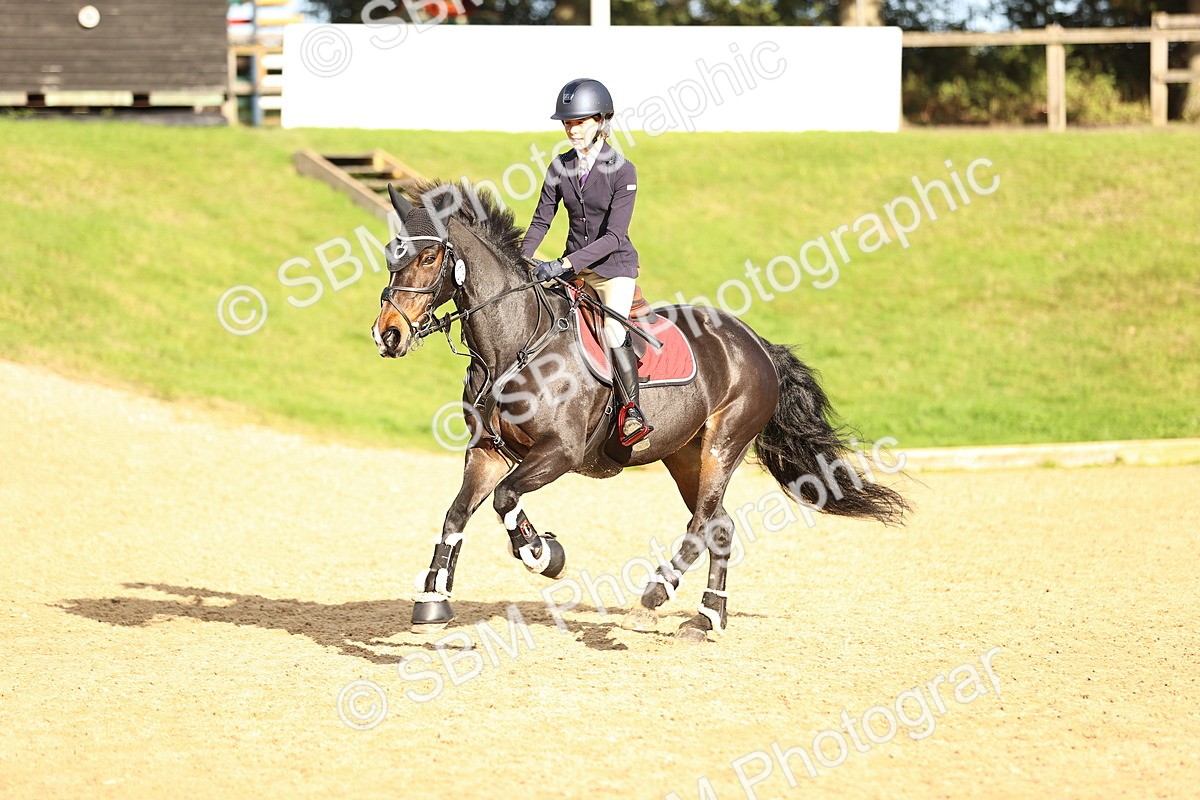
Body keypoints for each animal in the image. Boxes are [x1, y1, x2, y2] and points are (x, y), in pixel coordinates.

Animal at [371, 180, 909, 642]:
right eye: (390, 256)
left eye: (428, 255)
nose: (387, 335)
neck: (516, 345)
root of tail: (755, 342)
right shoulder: (488, 450)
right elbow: (456, 514)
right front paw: (432, 601)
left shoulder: (559, 452)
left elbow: (505, 500)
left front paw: (543, 553)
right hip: (684, 455)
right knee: (719, 524)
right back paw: (707, 617)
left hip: (723, 445)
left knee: (701, 525)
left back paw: (657, 592)